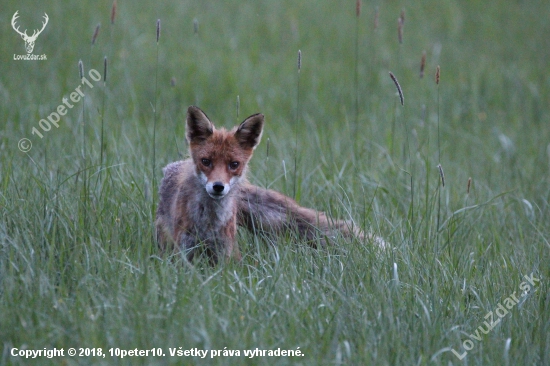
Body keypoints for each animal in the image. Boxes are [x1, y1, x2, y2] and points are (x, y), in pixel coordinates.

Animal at [156, 106, 384, 264]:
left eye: (234, 165)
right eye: (206, 162)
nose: (218, 186)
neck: (208, 221)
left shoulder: (224, 254)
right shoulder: (183, 251)